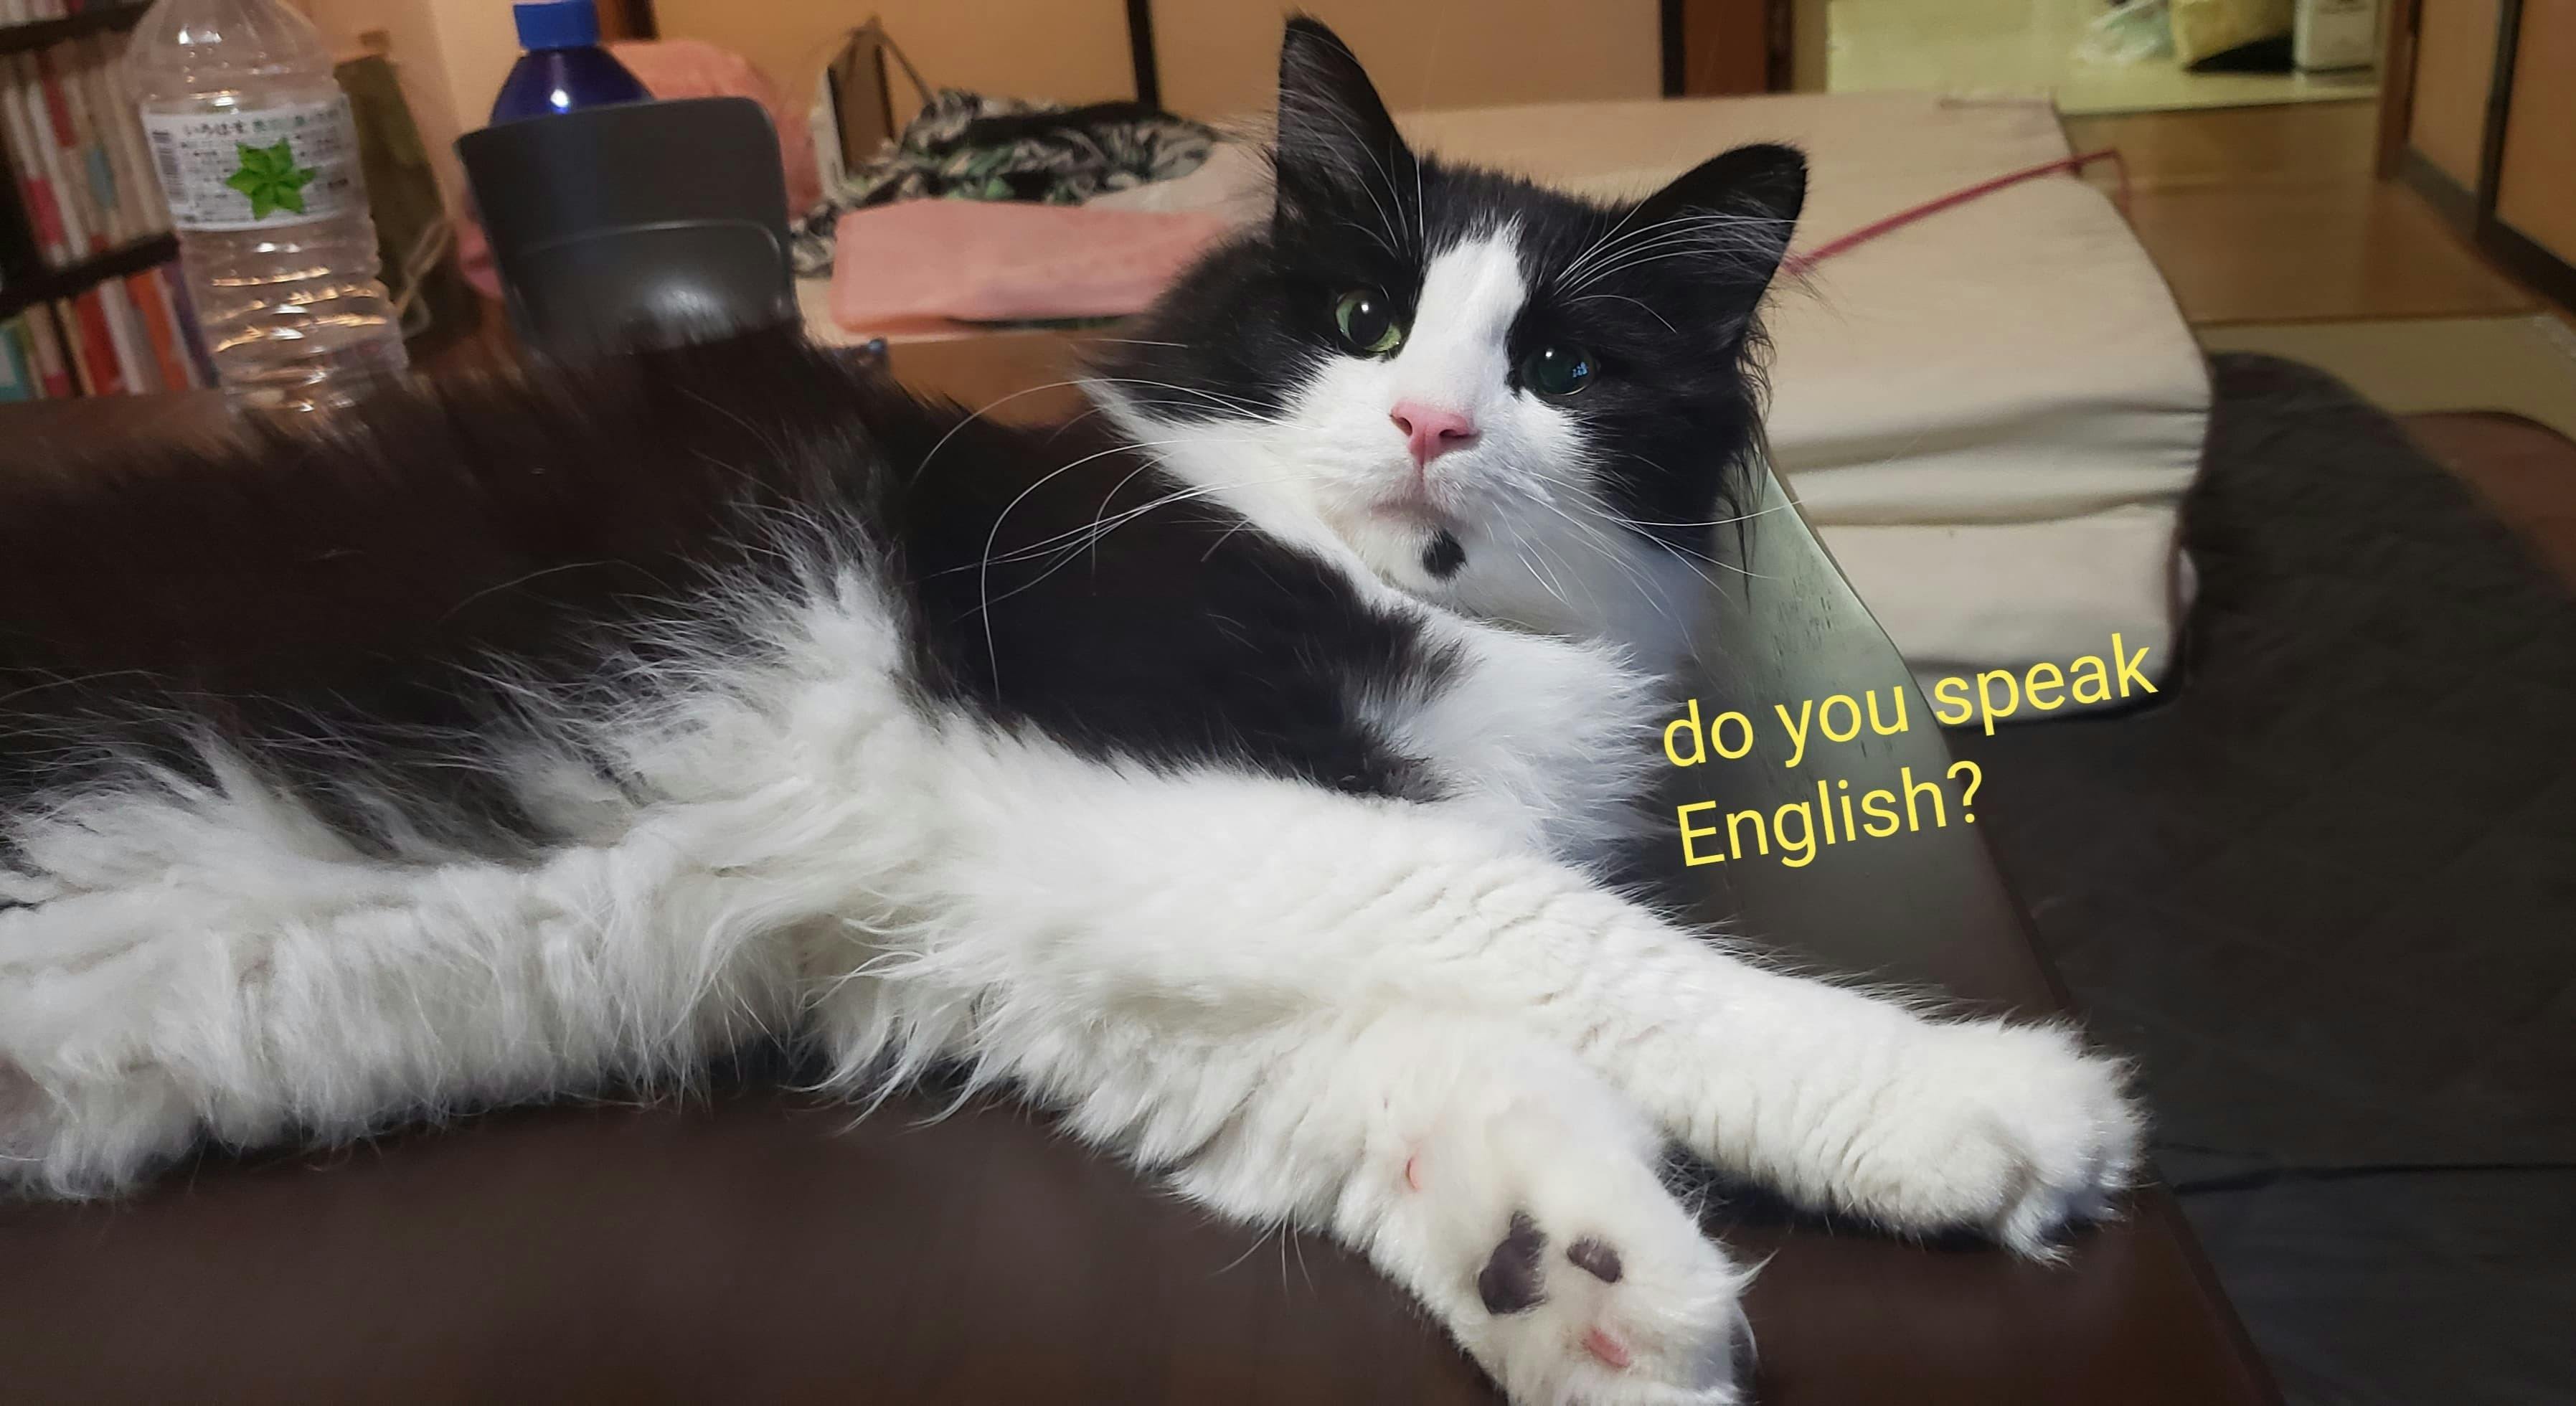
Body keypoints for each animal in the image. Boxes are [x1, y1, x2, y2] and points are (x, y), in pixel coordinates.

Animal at [0, 19, 2138, 1405]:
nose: (1429, 423)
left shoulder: (1037, 942)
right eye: (1362, 325)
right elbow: (1577, 950)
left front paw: (1572, 1274)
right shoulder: (1163, 793)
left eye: (1556, 366)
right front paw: (1986, 1110)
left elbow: (1415, 1070)